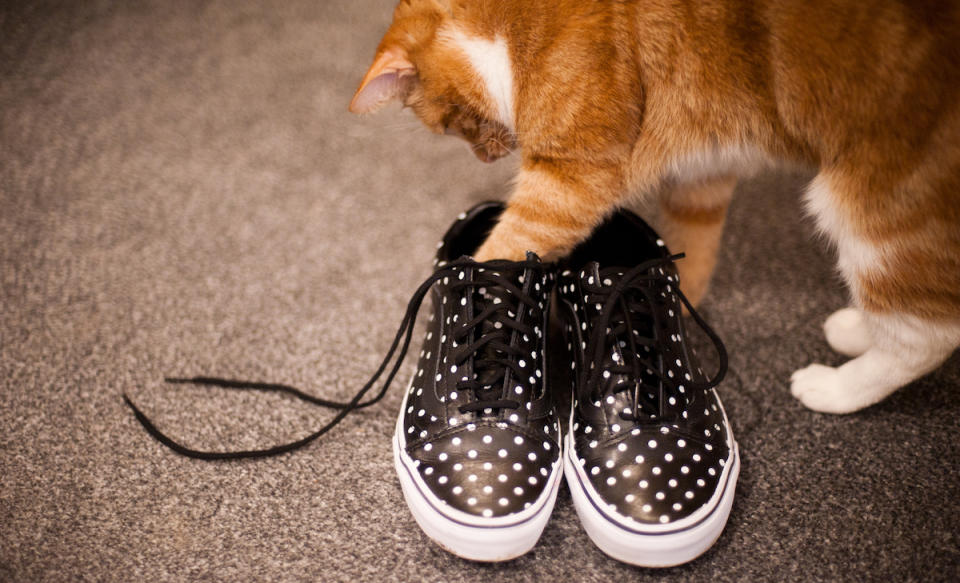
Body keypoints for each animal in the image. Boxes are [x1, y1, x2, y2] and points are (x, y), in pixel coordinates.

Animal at [350, 2, 960, 418]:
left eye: (448, 127)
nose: (488, 155)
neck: (511, 33)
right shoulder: (705, 163)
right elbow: (696, 245)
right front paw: (683, 301)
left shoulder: (572, 179)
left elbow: (502, 248)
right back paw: (855, 328)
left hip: (876, 217)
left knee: (927, 336)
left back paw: (834, 388)